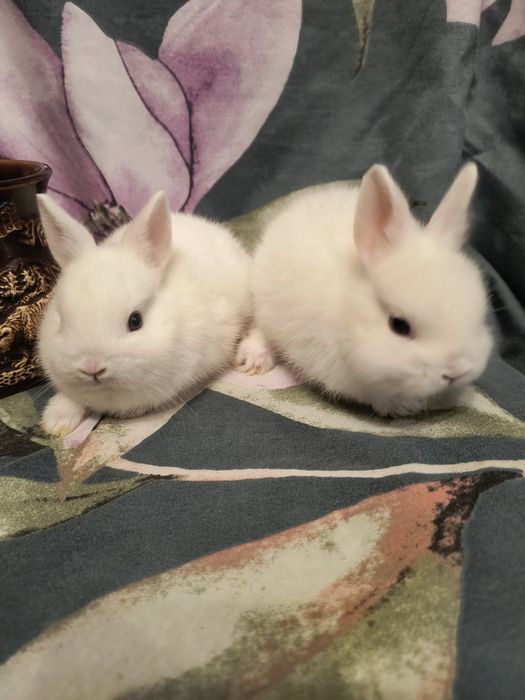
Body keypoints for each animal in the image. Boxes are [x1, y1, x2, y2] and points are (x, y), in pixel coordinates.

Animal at [236, 163, 493, 417]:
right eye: (399, 326)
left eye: (479, 320)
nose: (456, 371)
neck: (348, 312)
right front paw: (405, 406)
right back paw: (254, 359)